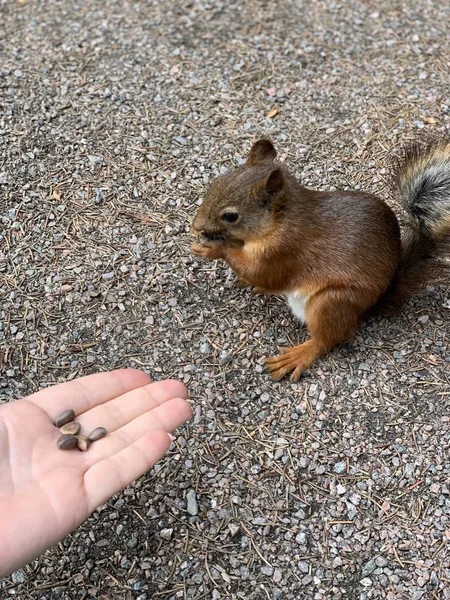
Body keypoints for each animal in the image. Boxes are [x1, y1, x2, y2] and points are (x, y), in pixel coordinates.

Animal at [190, 137, 450, 380]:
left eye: (230, 216)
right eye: (216, 182)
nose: (196, 226)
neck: (280, 220)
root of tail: (369, 306)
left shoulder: (283, 251)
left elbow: (262, 272)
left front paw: (216, 249)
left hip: (331, 302)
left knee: (329, 339)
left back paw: (300, 354)